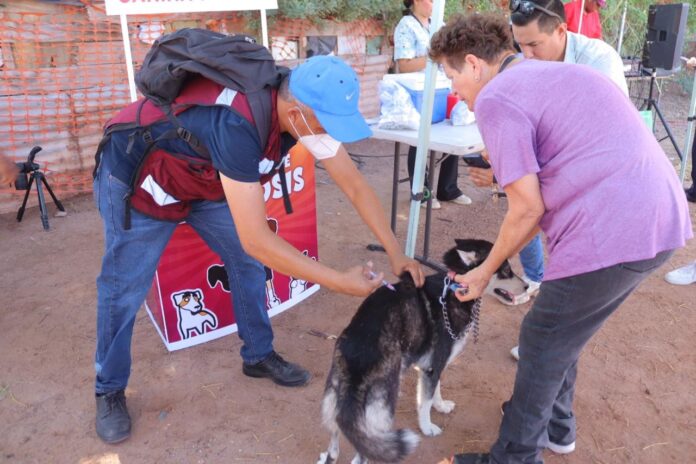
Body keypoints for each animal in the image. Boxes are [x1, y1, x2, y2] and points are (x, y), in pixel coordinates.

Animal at [318, 241, 524, 462]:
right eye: (506, 270)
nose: (527, 286)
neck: (453, 289)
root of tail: (356, 355)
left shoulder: (430, 365)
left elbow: (436, 391)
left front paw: (441, 406)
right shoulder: (434, 366)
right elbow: (425, 401)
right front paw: (428, 428)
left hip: (333, 405)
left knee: (335, 446)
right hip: (382, 410)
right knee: (362, 454)